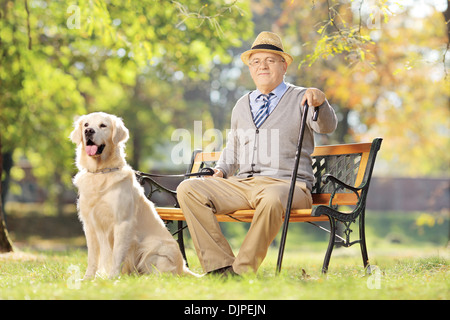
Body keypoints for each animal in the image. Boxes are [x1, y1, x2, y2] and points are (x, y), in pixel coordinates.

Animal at [70, 112, 197, 280]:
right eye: (86, 124)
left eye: (103, 125)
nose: (88, 131)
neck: (101, 172)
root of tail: (183, 267)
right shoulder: (90, 224)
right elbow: (92, 257)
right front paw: (88, 279)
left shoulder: (122, 222)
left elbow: (117, 254)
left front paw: (112, 278)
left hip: (151, 248)